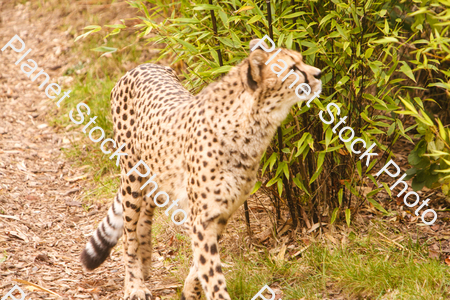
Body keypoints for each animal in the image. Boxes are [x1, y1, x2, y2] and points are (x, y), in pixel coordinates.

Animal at [80, 39, 320, 300]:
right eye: (292, 68)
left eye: (302, 60)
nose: (319, 73)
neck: (251, 124)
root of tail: (142, 65)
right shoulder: (203, 216)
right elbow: (211, 272)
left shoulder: (222, 211)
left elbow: (201, 264)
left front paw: (190, 291)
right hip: (132, 174)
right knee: (129, 230)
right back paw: (134, 283)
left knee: (146, 212)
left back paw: (145, 263)